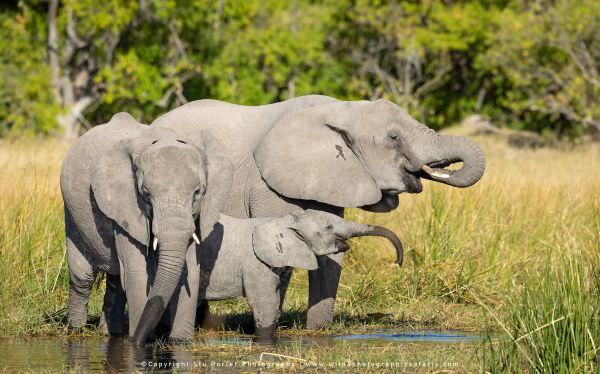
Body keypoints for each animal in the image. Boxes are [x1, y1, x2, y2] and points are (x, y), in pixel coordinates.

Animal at [59, 112, 232, 344]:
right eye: (146, 194)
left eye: (198, 192)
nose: (137, 340)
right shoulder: (125, 206)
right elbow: (137, 273)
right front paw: (142, 342)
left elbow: (190, 270)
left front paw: (180, 342)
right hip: (72, 213)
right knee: (82, 276)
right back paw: (75, 331)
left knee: (115, 279)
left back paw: (110, 333)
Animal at [192, 210, 400, 338]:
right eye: (329, 228)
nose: (397, 261)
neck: (284, 220)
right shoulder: (256, 263)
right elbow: (265, 303)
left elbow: (276, 301)